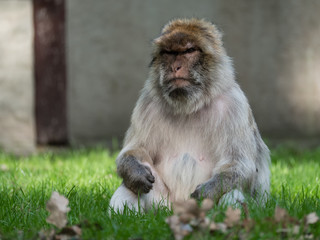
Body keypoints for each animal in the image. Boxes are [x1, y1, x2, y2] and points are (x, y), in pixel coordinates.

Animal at [109, 17, 270, 212]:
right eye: (169, 53)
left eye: (189, 51)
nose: (175, 67)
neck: (190, 106)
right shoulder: (147, 105)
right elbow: (134, 150)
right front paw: (134, 172)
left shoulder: (235, 105)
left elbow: (241, 164)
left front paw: (209, 190)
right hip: (162, 204)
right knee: (129, 186)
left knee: (232, 191)